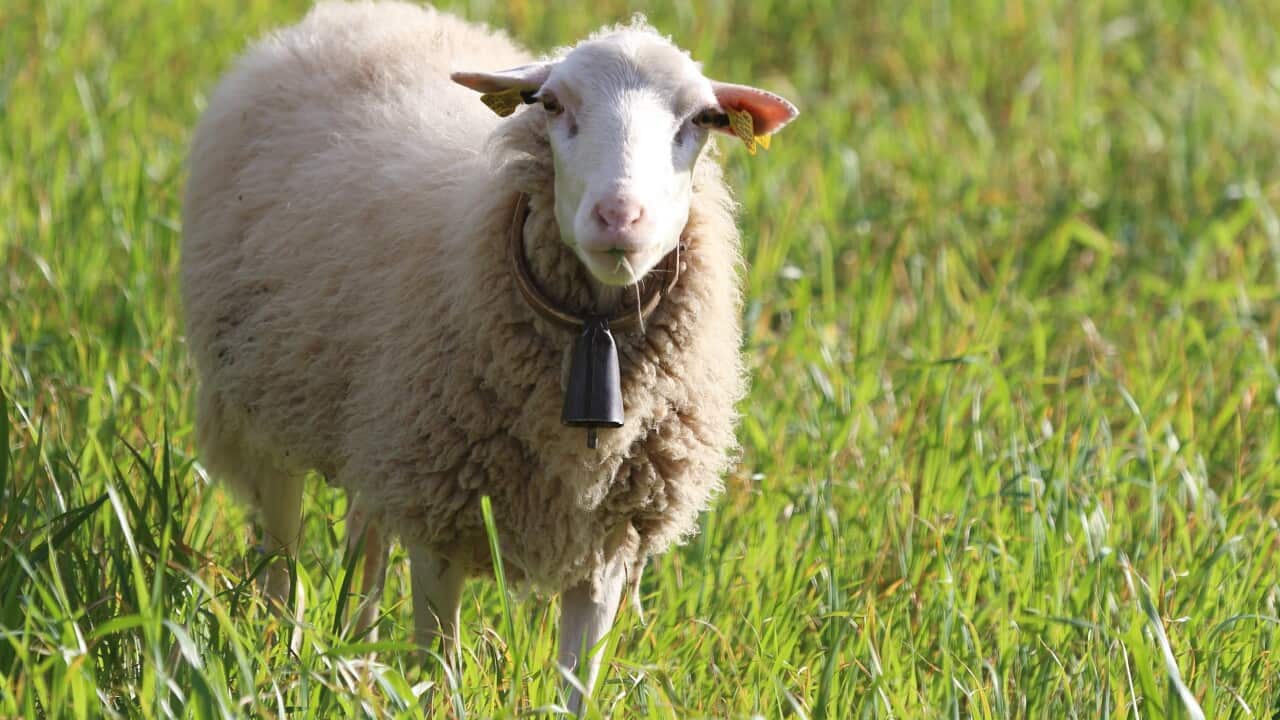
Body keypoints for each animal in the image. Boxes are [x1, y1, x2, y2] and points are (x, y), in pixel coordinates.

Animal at [181, 0, 797, 710]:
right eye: (552, 104)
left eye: (701, 119)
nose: (619, 217)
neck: (590, 334)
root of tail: (355, 14)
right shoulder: (440, 518)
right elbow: (435, 672)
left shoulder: (606, 548)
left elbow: (576, 689)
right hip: (270, 402)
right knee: (281, 554)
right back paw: (282, 658)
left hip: (376, 423)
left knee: (366, 543)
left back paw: (355, 661)